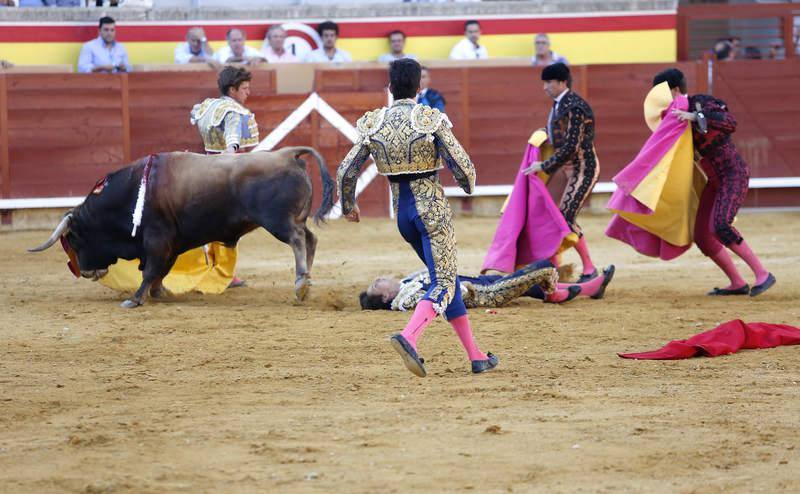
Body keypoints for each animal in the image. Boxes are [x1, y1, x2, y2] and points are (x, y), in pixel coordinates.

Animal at [28, 147, 334, 308]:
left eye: (75, 240)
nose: (87, 271)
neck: (132, 191)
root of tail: (287, 154)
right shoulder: (172, 242)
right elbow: (160, 271)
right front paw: (160, 293)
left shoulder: (157, 238)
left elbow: (151, 269)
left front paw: (135, 299)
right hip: (293, 219)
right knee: (311, 239)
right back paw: (307, 283)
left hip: (278, 222)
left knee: (297, 240)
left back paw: (300, 284)